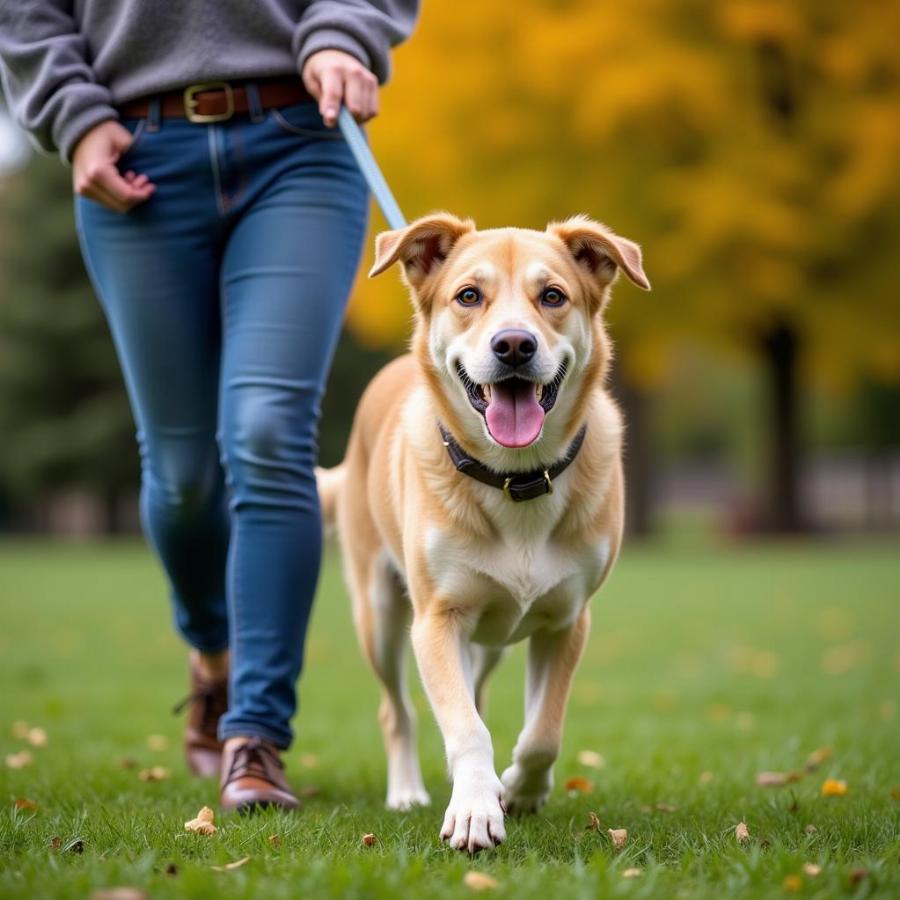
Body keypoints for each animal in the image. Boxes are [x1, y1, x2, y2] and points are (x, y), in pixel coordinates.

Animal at [316, 211, 648, 852]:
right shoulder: (436, 619)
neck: (516, 479)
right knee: (399, 710)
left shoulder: (568, 619)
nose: (514, 344)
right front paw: (474, 808)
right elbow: (466, 728)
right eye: (469, 296)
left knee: (479, 694)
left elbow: (542, 732)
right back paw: (408, 791)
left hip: (490, 642)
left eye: (553, 296)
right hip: (381, 614)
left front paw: (518, 789)